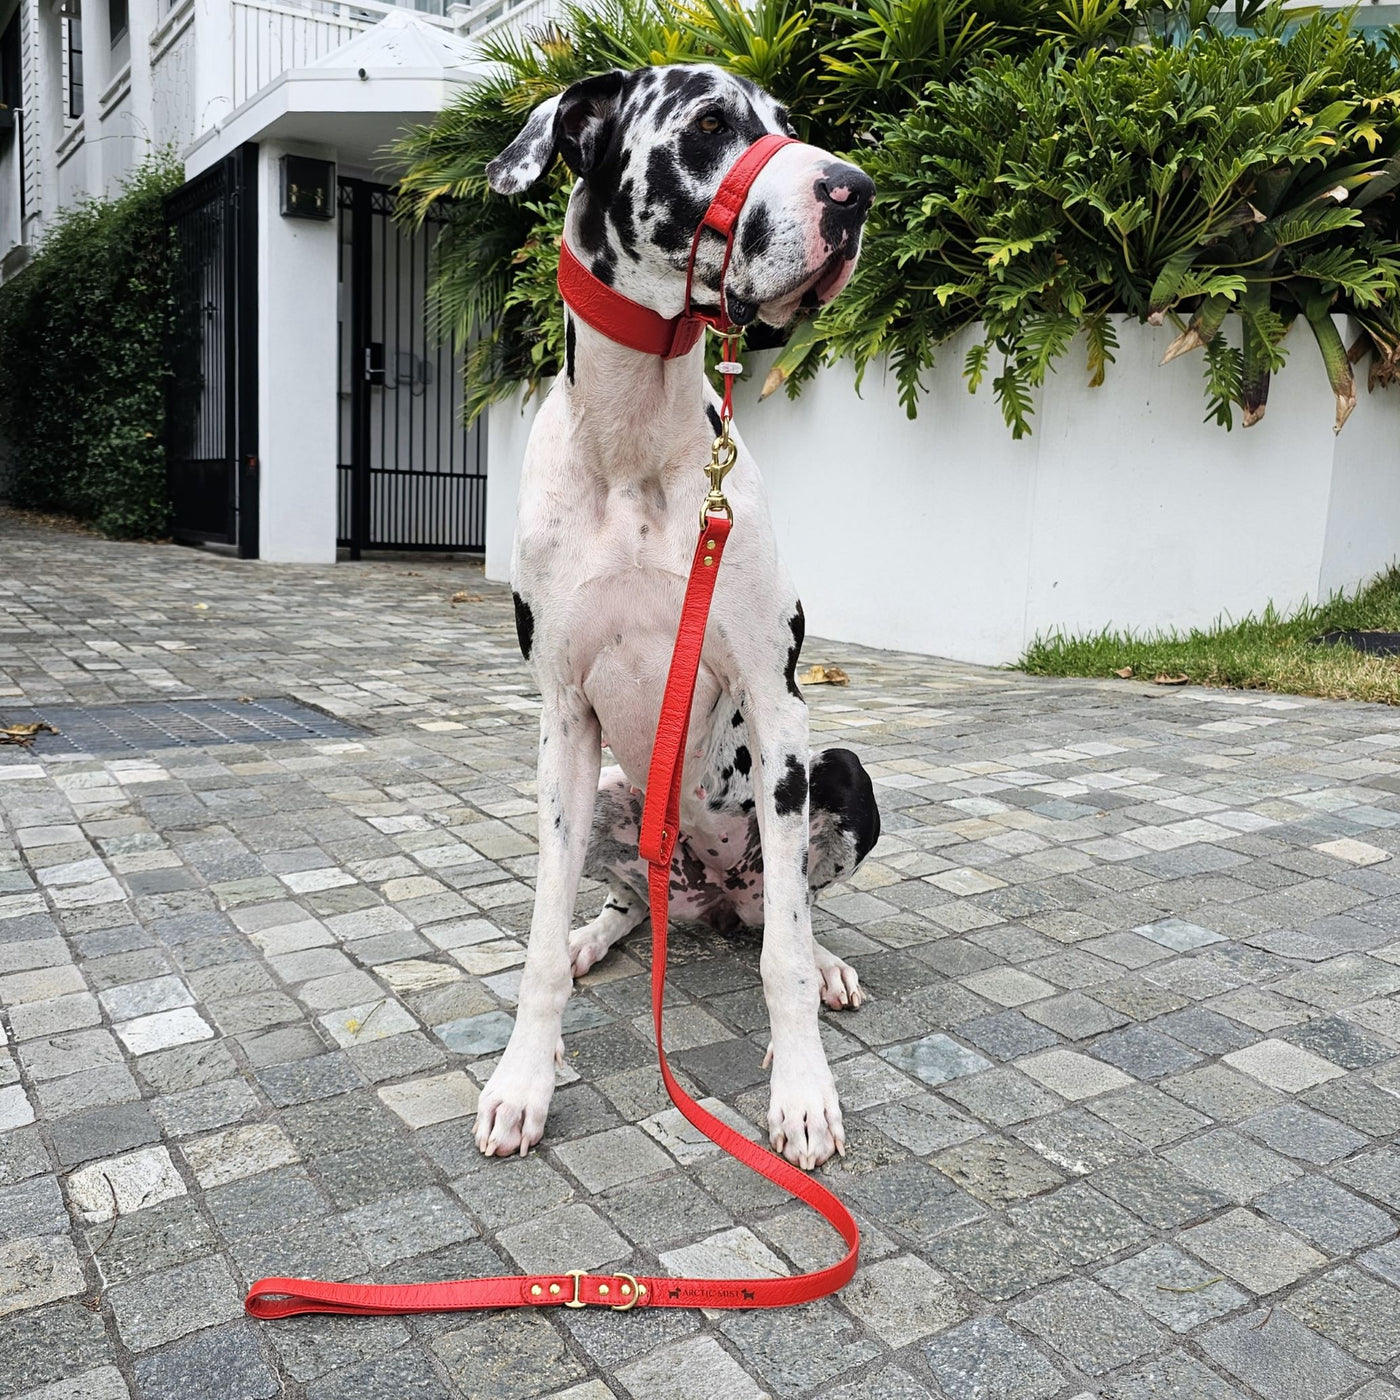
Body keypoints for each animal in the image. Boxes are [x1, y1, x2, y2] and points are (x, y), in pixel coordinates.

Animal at [476, 63, 879, 1170]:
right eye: (707, 125)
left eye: (788, 125)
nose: (856, 192)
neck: (632, 437)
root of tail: (704, 891)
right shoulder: (563, 722)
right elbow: (535, 937)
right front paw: (523, 1077)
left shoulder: (778, 709)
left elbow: (785, 953)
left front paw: (801, 1089)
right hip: (618, 792)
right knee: (623, 899)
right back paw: (597, 934)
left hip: (838, 774)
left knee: (786, 910)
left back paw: (825, 961)